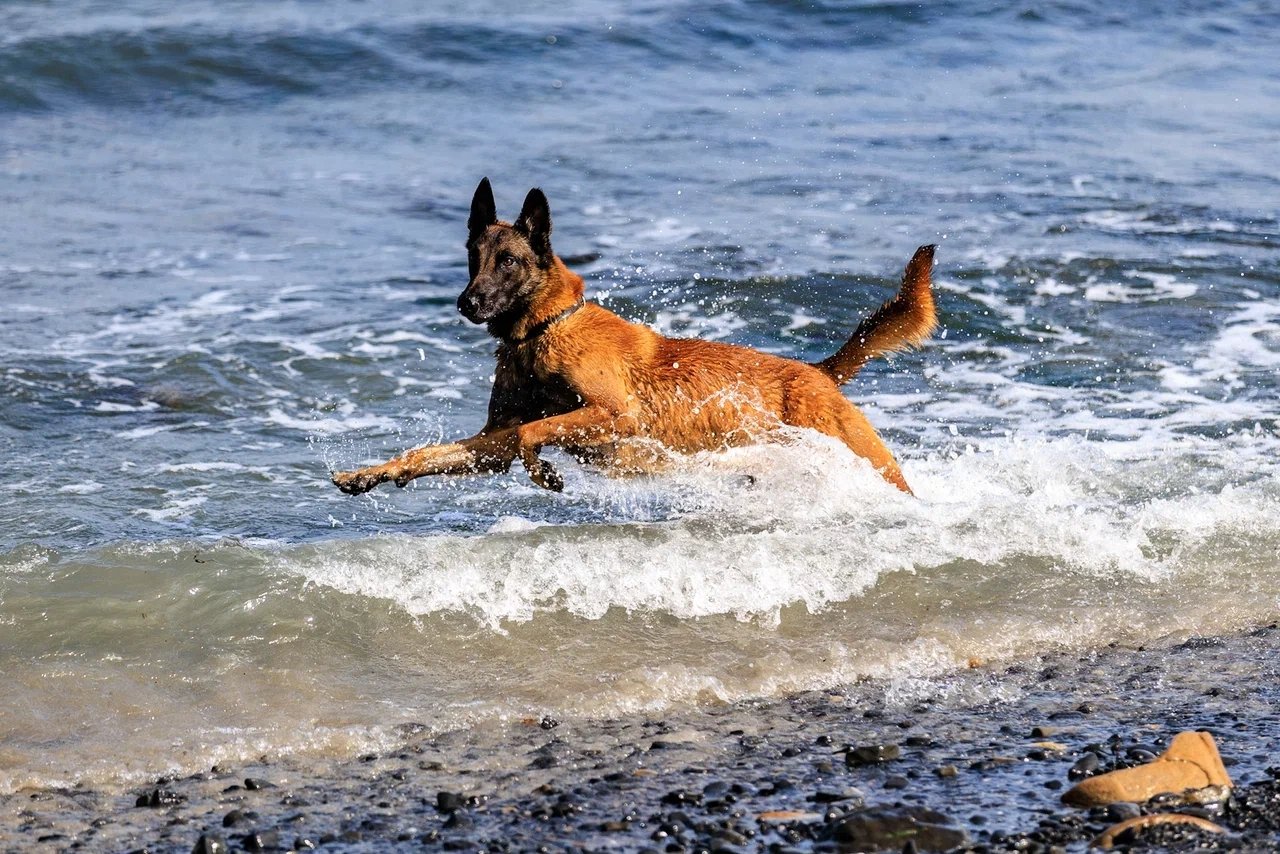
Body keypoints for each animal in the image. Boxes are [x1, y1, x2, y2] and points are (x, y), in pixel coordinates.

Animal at [332, 178, 936, 496]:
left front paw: (544, 472)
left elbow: (534, 432)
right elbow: (435, 451)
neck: (544, 331)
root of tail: (818, 371)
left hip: (863, 459)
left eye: (508, 261)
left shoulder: (614, 413)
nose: (466, 303)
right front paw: (373, 473)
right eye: (471, 257)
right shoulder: (493, 442)